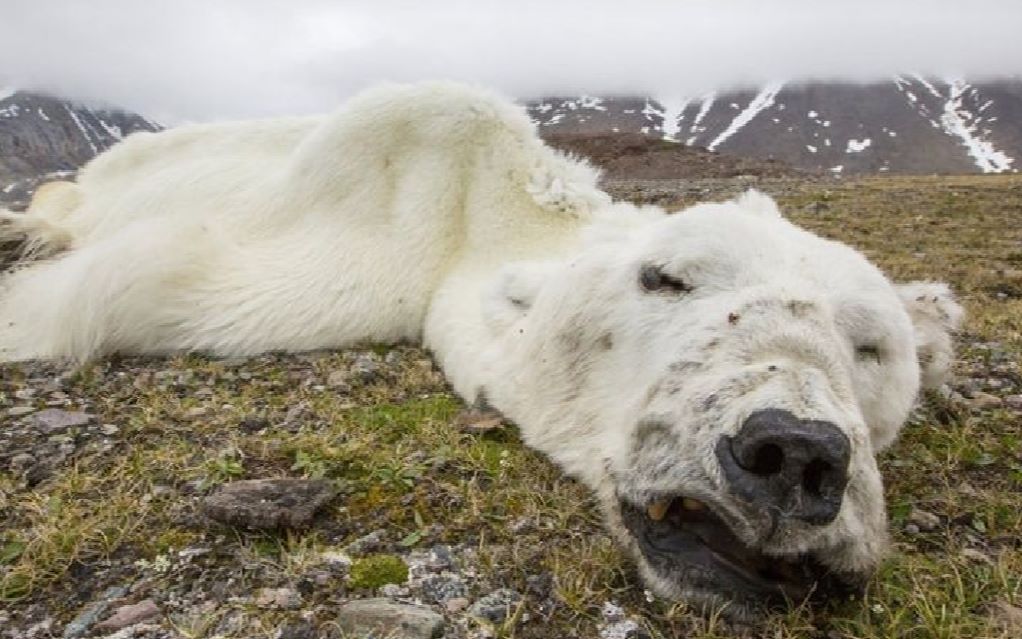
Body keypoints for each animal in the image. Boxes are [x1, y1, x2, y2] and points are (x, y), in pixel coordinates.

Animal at [0, 82, 956, 617]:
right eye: (666, 277)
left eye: (872, 345)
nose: (793, 452)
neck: (482, 212)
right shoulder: (367, 230)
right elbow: (138, 280)